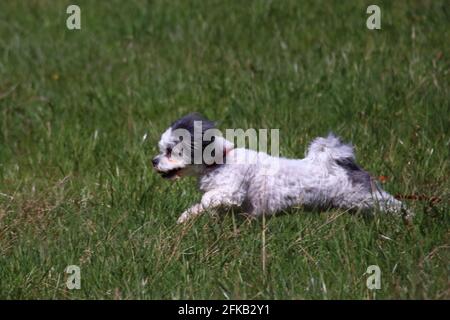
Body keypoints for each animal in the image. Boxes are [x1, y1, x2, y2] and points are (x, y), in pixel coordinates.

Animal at [152, 114, 412, 224]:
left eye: (169, 151)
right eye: (162, 150)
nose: (154, 161)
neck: (220, 161)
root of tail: (343, 162)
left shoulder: (231, 191)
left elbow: (208, 199)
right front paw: (190, 218)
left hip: (364, 197)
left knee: (392, 204)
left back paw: (408, 218)